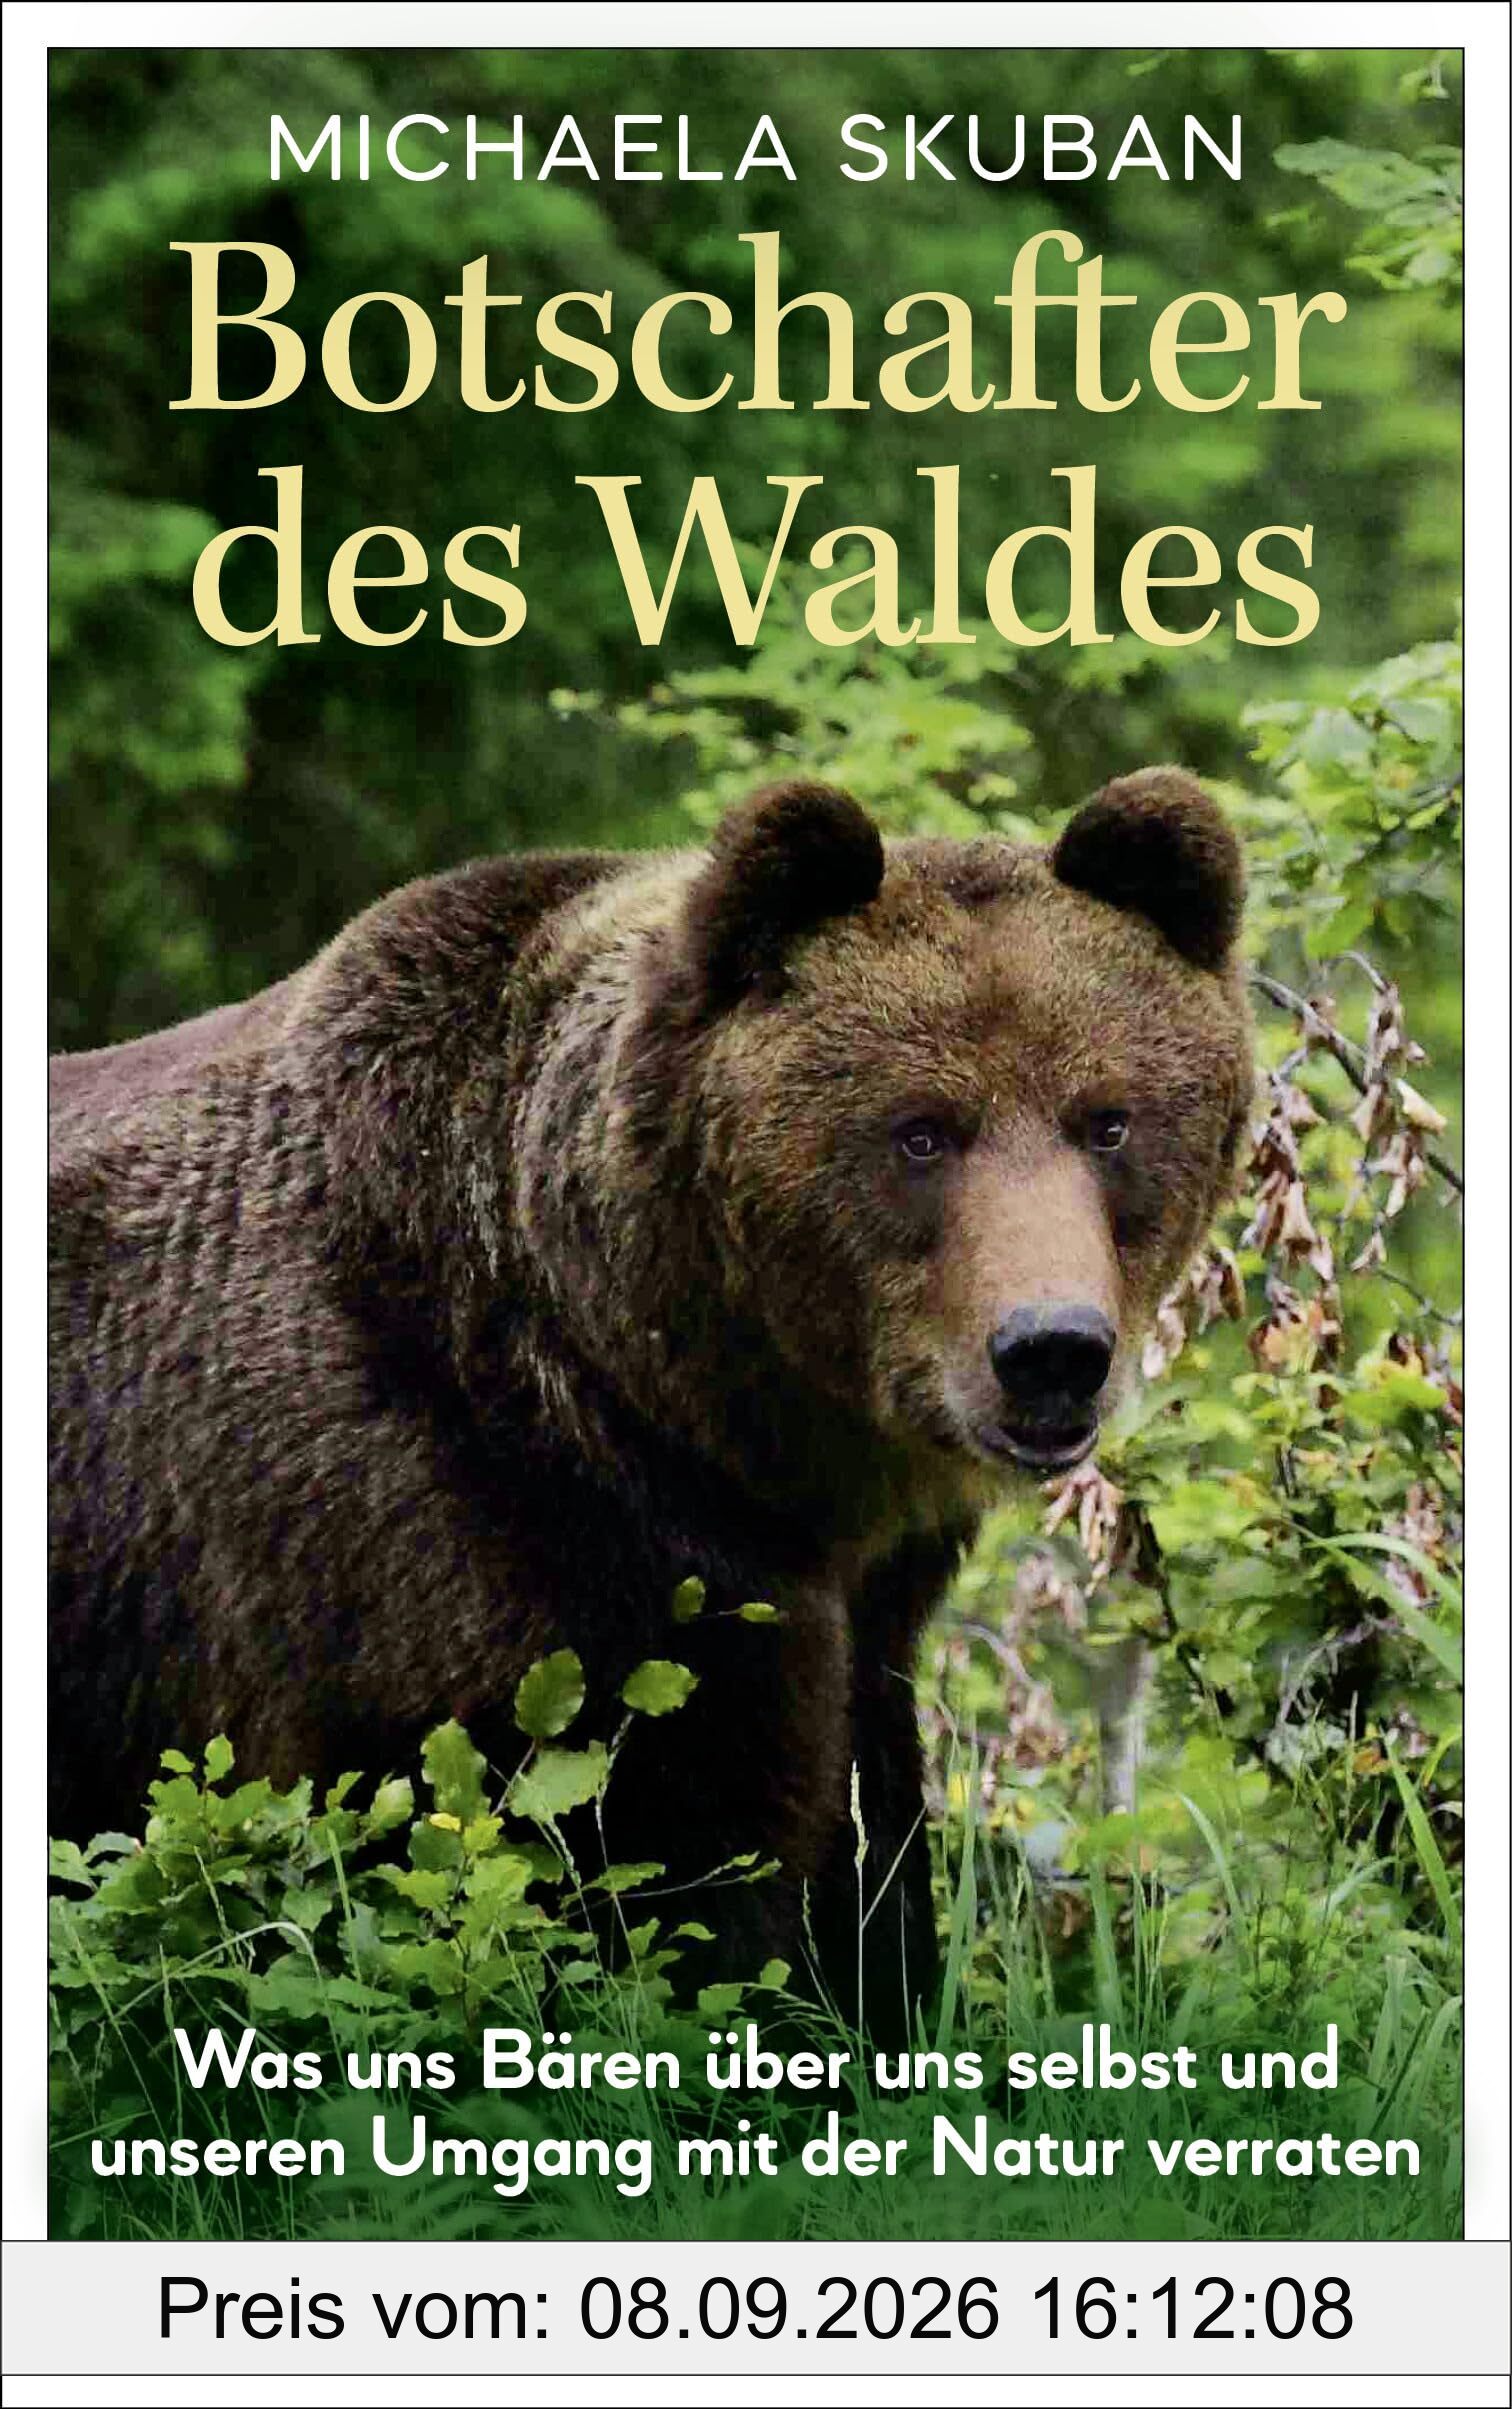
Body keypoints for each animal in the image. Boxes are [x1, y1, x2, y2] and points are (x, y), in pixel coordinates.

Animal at [48, 768, 1251, 2035]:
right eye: (922, 1131)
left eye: (1107, 1120)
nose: (1051, 1350)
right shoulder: (460, 1568)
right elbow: (638, 1880)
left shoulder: (852, 1607)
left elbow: (859, 1841)